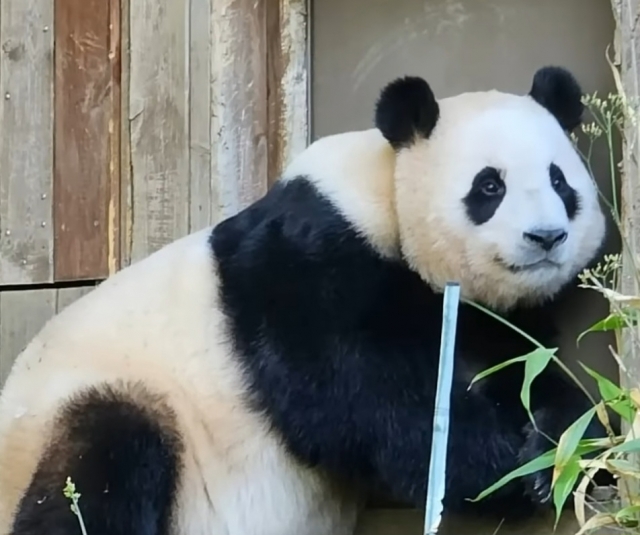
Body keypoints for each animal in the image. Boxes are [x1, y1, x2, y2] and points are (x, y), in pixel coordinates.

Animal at [0, 66, 608, 535]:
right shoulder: (308, 260)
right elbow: (366, 394)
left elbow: (517, 366)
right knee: (104, 457)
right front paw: (506, 471)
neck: (384, 192)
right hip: (79, 410)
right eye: (489, 187)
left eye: (560, 182)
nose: (546, 237)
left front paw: (564, 443)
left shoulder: (473, 314)